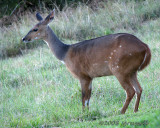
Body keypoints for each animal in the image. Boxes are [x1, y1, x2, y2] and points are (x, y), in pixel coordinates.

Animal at [22, 10, 151, 114]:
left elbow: (83, 98)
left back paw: (121, 111)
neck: (65, 54)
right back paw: (135, 110)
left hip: (119, 68)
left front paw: (83, 115)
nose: (24, 38)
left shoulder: (82, 75)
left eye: (35, 29)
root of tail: (145, 47)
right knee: (139, 89)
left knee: (130, 91)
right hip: (132, 71)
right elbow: (88, 98)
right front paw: (88, 113)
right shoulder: (90, 77)